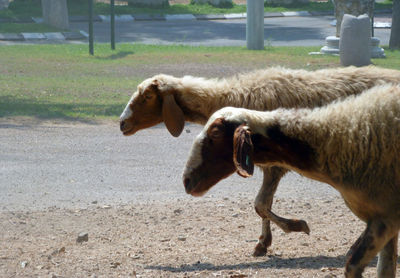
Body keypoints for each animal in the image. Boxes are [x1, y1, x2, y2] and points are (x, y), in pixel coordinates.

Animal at [119, 65, 400, 256]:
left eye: (146, 97)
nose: (122, 123)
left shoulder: (275, 165)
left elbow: (261, 204)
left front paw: (294, 228)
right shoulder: (265, 164)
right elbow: (263, 206)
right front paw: (264, 243)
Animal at [183, 83, 400, 278]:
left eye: (216, 133)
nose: (186, 180)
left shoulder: (384, 217)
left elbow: (353, 267)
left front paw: (297, 226)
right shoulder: (387, 221)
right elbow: (384, 270)